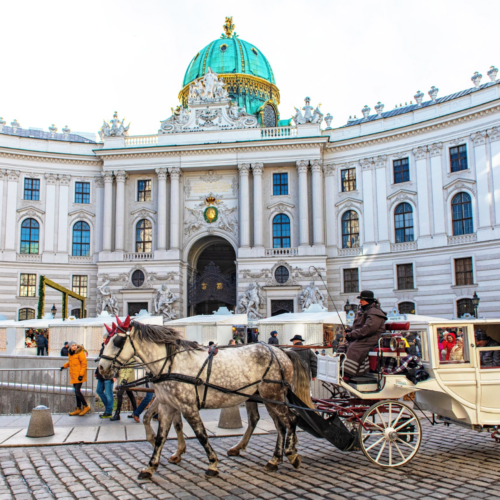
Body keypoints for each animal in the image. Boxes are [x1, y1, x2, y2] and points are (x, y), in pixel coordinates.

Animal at [98, 318, 312, 478]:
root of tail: (282, 351)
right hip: (265, 397)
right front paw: (150, 466)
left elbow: (201, 435)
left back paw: (290, 454)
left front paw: (212, 464)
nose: (100, 368)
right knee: (276, 424)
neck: (170, 364)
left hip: (272, 394)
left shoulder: (188, 406)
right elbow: (161, 436)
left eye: (117, 342)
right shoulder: (167, 405)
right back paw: (273, 459)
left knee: (290, 419)